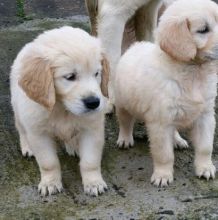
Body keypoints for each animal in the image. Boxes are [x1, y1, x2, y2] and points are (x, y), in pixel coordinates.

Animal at [10, 26, 109, 196]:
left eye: (97, 73)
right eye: (70, 77)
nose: (94, 103)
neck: (62, 107)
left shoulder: (92, 130)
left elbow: (90, 161)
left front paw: (94, 183)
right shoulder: (39, 133)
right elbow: (49, 162)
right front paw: (50, 183)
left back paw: (73, 146)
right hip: (18, 110)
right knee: (22, 130)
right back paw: (28, 147)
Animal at [114, 0, 218, 186]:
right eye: (203, 30)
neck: (193, 72)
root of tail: (135, 46)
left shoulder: (205, 115)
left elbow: (206, 147)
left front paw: (205, 168)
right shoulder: (160, 122)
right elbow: (164, 154)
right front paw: (162, 175)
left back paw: (177, 140)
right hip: (123, 103)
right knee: (125, 121)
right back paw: (125, 139)